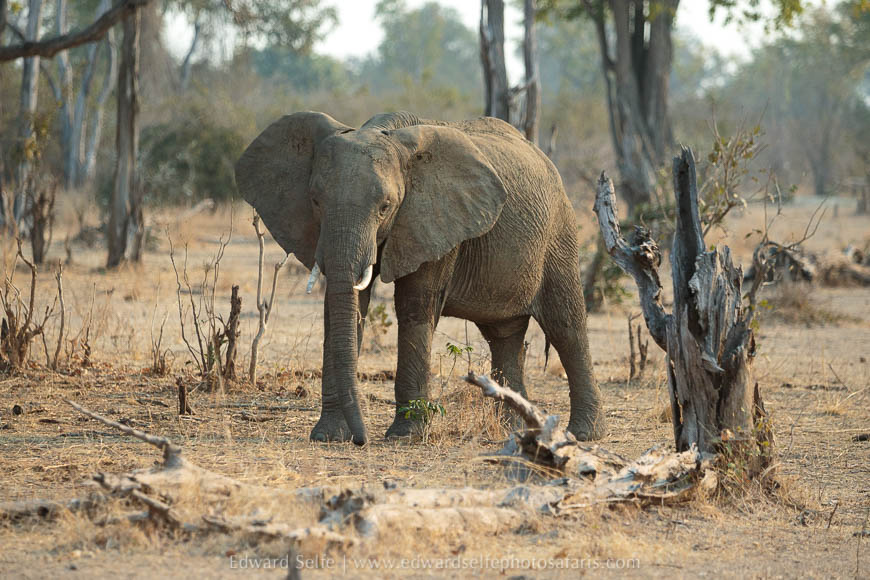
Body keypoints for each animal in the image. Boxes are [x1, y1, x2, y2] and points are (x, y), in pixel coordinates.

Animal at [234, 111, 606, 445]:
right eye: (315, 201)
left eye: (385, 207)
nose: (361, 440)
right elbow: (346, 307)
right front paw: (327, 436)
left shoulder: (437, 221)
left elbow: (414, 307)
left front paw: (405, 437)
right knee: (504, 336)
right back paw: (515, 431)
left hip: (559, 231)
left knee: (565, 324)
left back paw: (582, 434)